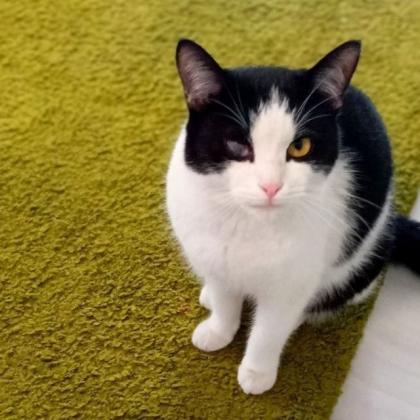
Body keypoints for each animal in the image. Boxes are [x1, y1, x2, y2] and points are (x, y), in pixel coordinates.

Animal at [165, 39, 420, 395]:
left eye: (300, 147)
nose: (270, 186)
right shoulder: (212, 255)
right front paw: (219, 329)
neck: (249, 223)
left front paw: (256, 372)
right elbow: (225, 296)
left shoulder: (294, 279)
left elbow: (271, 327)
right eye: (236, 144)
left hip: (361, 261)